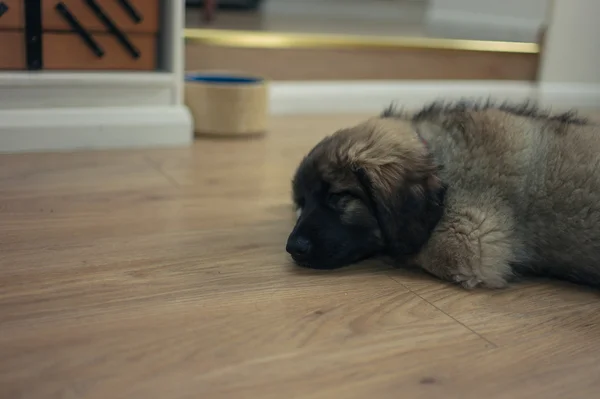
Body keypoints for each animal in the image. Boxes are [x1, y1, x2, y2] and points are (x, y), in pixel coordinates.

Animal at [284, 99, 600, 288]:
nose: (293, 248)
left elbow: (405, 247)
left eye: (337, 197)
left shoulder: (468, 242)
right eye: (301, 203)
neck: (439, 160)